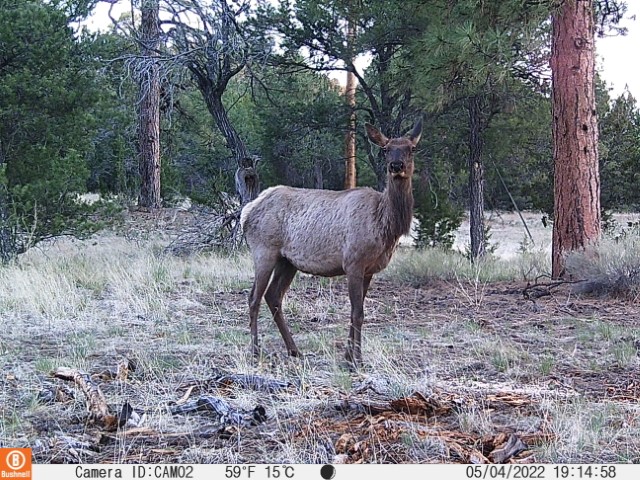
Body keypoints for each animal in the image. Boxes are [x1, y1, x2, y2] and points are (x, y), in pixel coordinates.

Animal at [240, 119, 422, 367]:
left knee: (273, 296)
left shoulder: (369, 269)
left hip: (287, 261)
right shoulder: (353, 262)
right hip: (263, 251)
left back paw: (294, 350)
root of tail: (247, 212)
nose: (396, 165)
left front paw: (348, 356)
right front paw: (357, 360)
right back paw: (255, 351)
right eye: (386, 149)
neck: (385, 226)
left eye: (411, 149)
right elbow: (358, 313)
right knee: (253, 298)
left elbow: (356, 311)